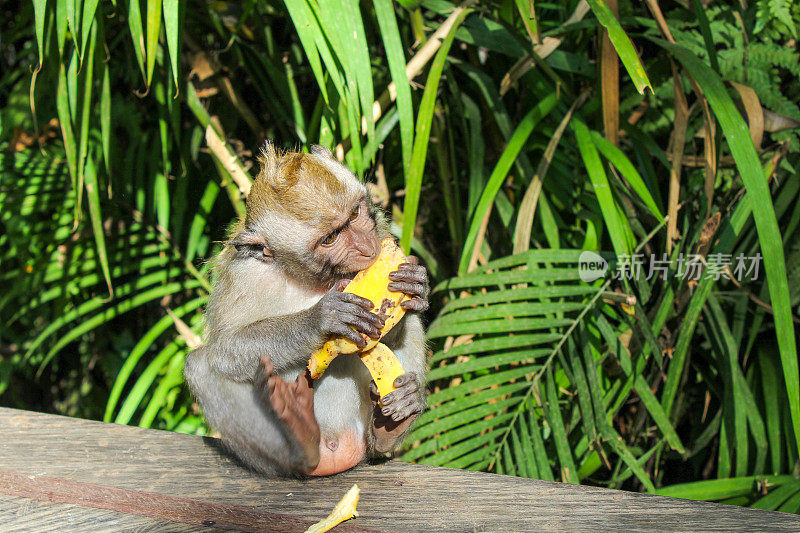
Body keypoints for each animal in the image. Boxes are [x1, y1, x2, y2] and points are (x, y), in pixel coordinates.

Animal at [184, 142, 428, 478]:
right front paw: (320, 320)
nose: (368, 248)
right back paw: (301, 439)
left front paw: (415, 286)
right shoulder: (243, 274)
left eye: (355, 214)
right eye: (330, 238)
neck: (309, 278)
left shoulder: (380, 228)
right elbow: (226, 348)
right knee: (202, 365)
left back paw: (388, 429)